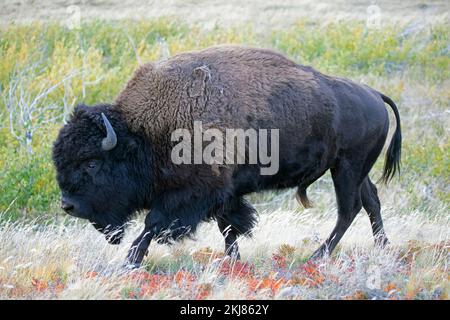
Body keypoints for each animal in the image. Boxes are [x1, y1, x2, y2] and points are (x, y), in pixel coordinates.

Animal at [52, 45, 400, 268]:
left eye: (92, 162)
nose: (68, 205)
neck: (145, 134)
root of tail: (374, 94)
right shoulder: (224, 193)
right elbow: (228, 227)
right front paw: (233, 260)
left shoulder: (194, 193)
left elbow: (154, 223)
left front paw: (131, 261)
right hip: (352, 169)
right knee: (371, 201)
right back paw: (383, 247)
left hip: (347, 168)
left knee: (349, 209)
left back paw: (317, 256)